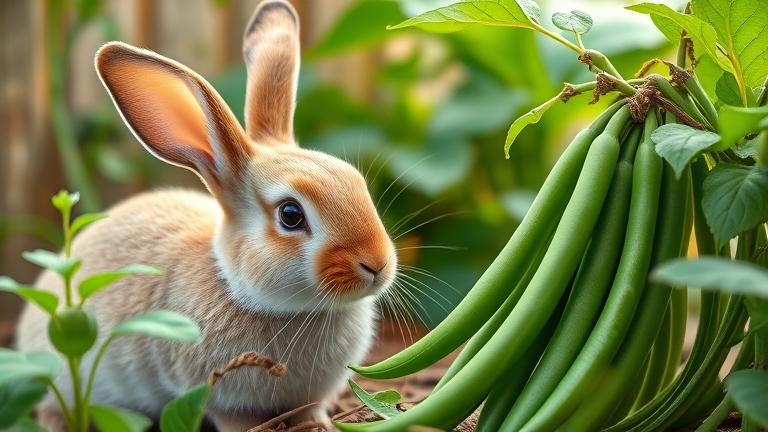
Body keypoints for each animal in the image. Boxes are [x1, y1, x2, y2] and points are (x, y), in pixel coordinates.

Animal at [15, 1, 397, 431]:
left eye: (358, 183)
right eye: (290, 215)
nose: (377, 265)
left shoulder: (310, 396)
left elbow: (311, 408)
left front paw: (322, 424)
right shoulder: (221, 397)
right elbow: (233, 419)